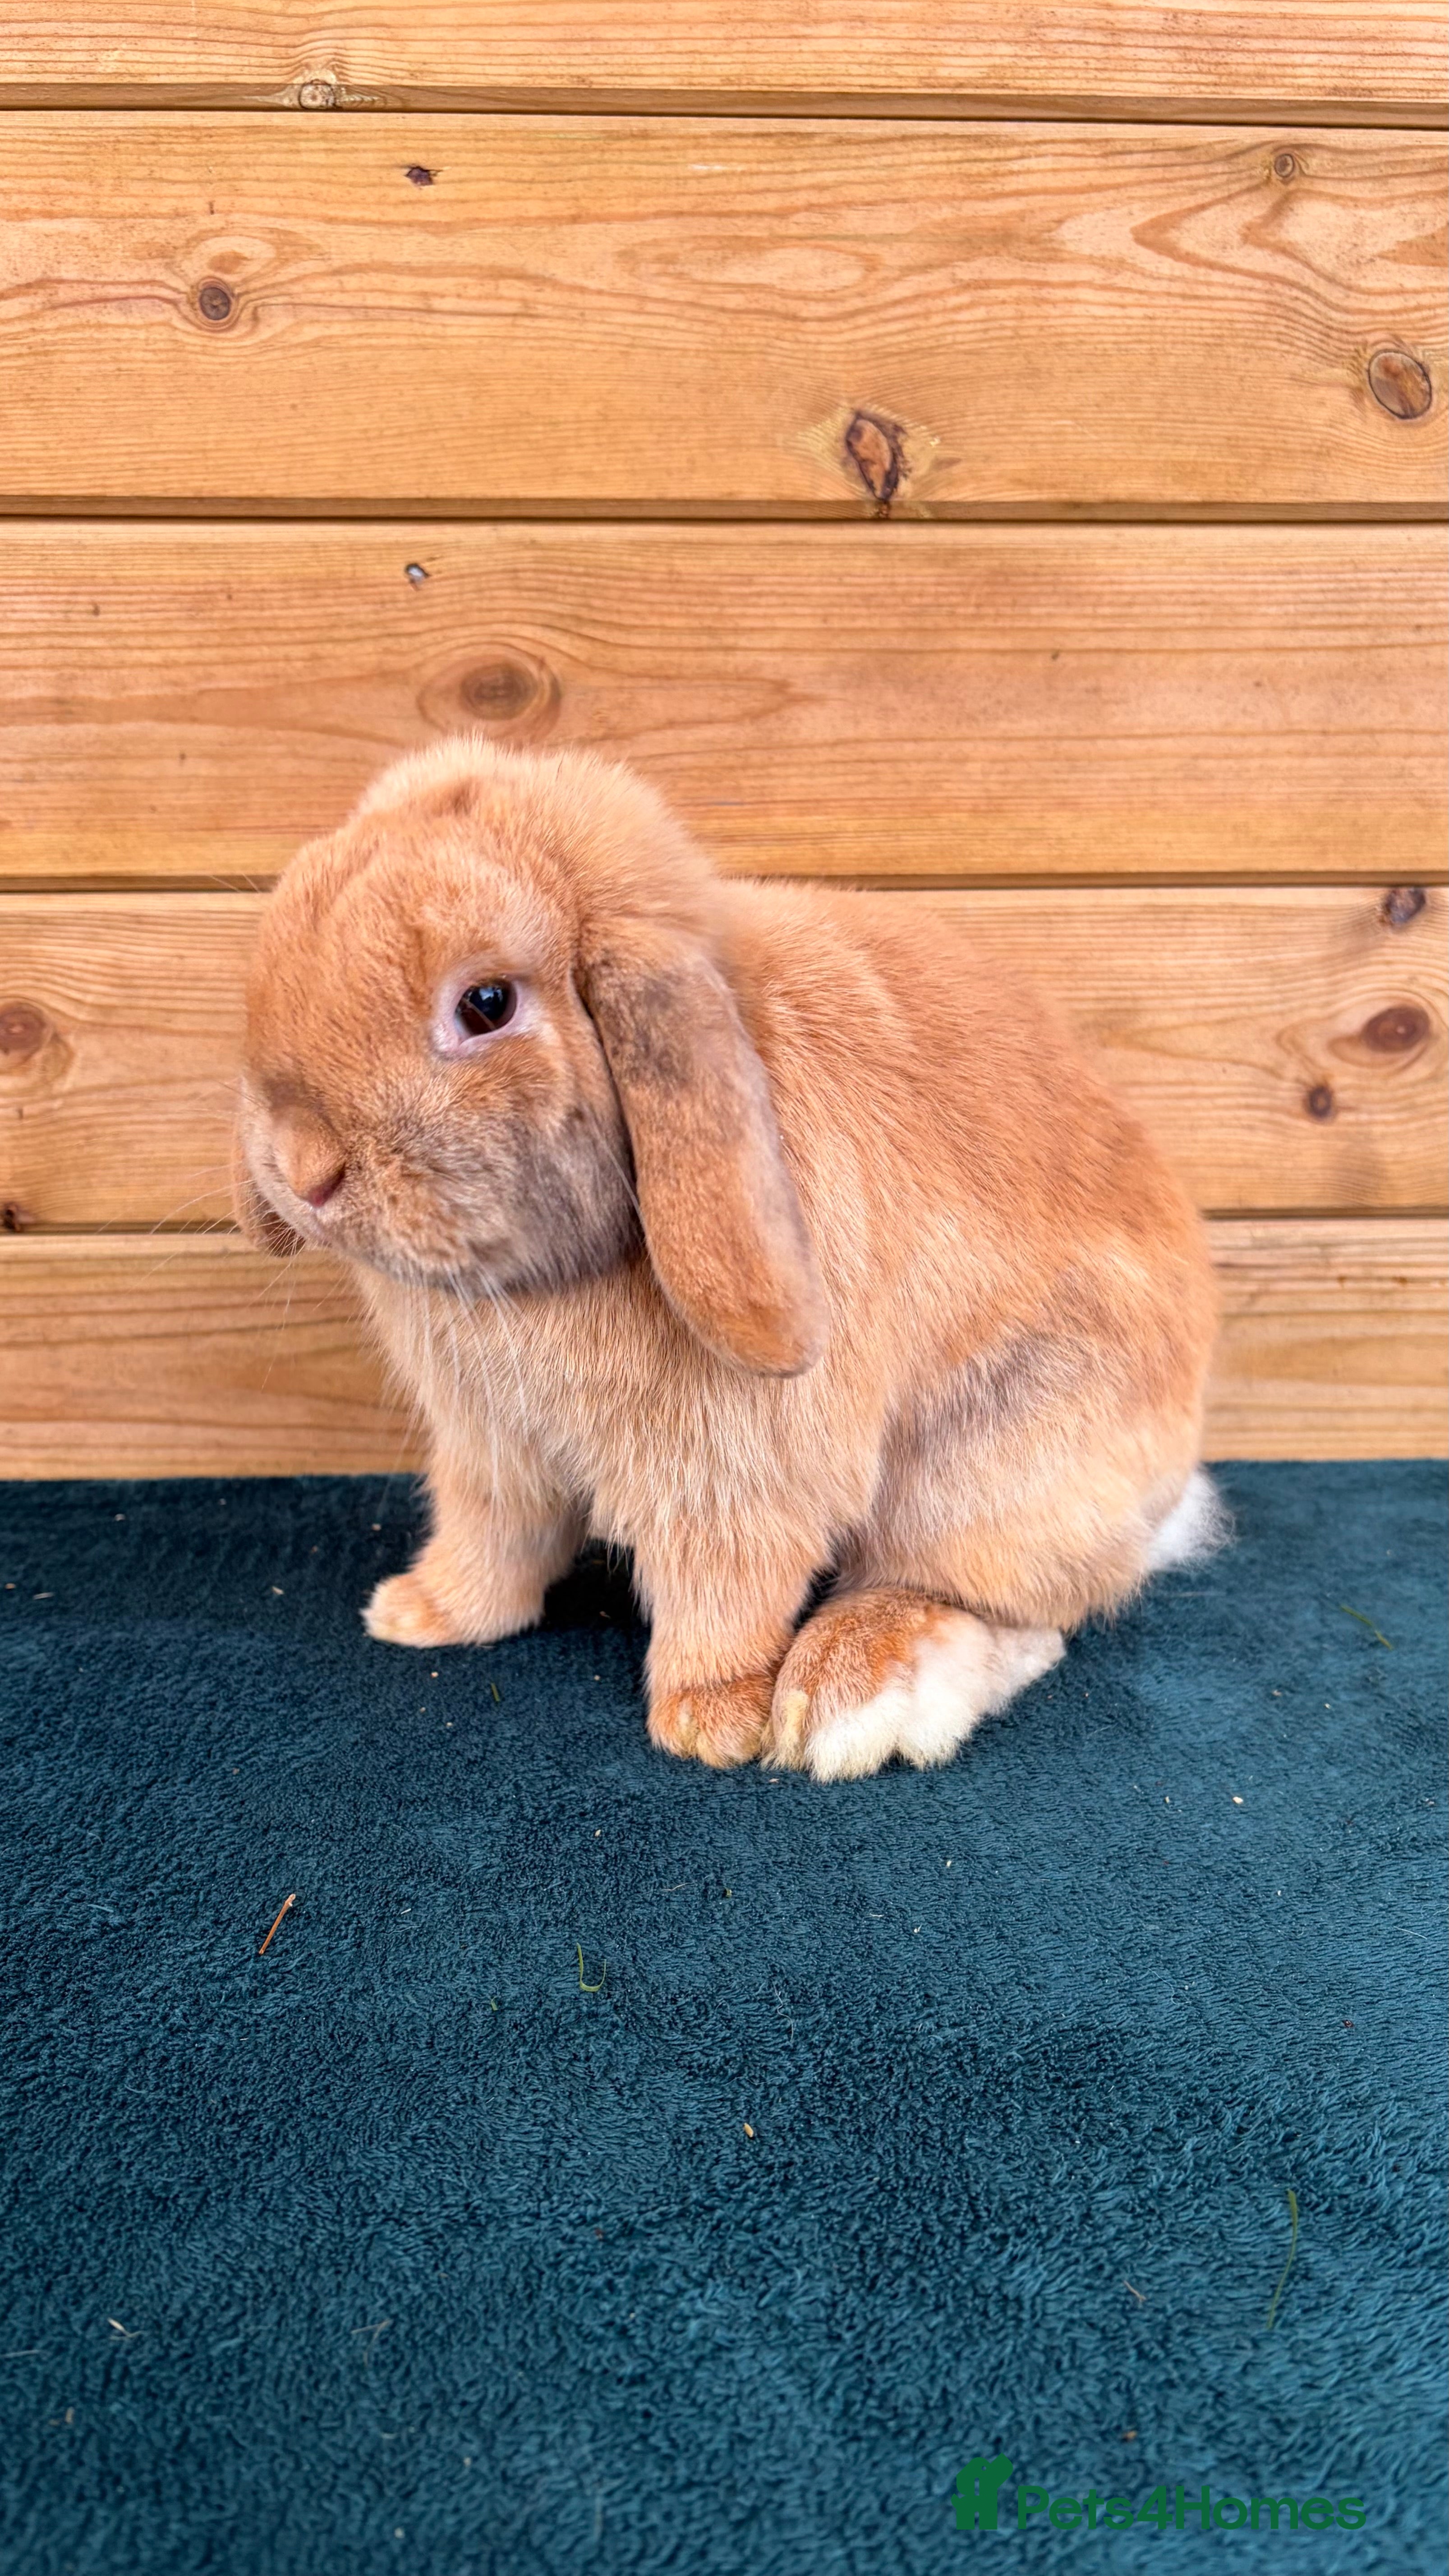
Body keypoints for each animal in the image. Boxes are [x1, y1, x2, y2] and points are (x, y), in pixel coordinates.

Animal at [234, 737, 1221, 1779]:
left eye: (486, 1004)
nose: (303, 1171)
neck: (540, 1281)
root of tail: (1165, 1498)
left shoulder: (735, 1472)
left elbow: (724, 1583)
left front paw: (710, 1723)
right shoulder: (489, 1447)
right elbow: (493, 1537)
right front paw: (423, 1614)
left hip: (993, 1461)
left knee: (1010, 1608)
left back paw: (851, 1692)